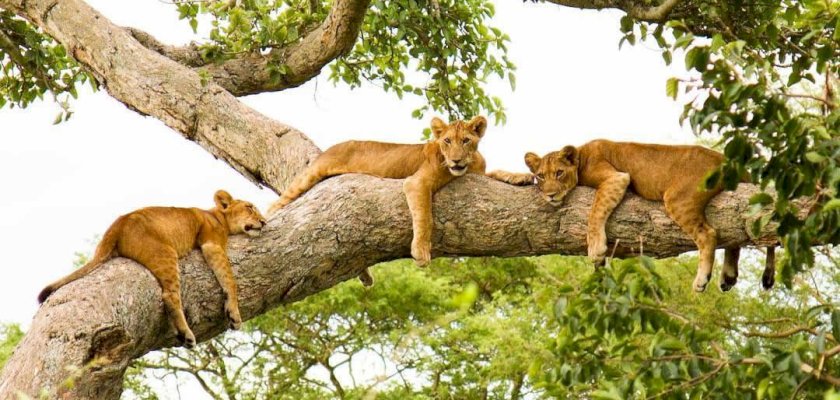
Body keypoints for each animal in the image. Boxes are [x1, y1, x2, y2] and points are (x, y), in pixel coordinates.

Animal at [38, 190, 266, 348]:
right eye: (249, 207)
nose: (264, 222)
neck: (217, 216)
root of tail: (117, 225)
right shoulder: (212, 244)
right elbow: (230, 280)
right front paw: (234, 314)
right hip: (166, 252)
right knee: (169, 295)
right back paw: (186, 334)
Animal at [268, 116, 488, 271]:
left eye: (466, 140)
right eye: (447, 141)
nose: (456, 160)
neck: (470, 164)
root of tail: (332, 147)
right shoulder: (416, 182)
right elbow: (425, 217)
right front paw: (421, 251)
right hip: (310, 175)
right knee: (276, 204)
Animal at [488, 140, 776, 292]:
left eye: (559, 173)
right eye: (540, 176)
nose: (549, 195)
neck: (581, 154)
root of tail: (727, 159)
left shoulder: (616, 177)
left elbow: (595, 212)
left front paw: (596, 248)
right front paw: (505, 175)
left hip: (678, 199)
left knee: (709, 234)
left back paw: (702, 279)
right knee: (734, 238)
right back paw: (728, 276)